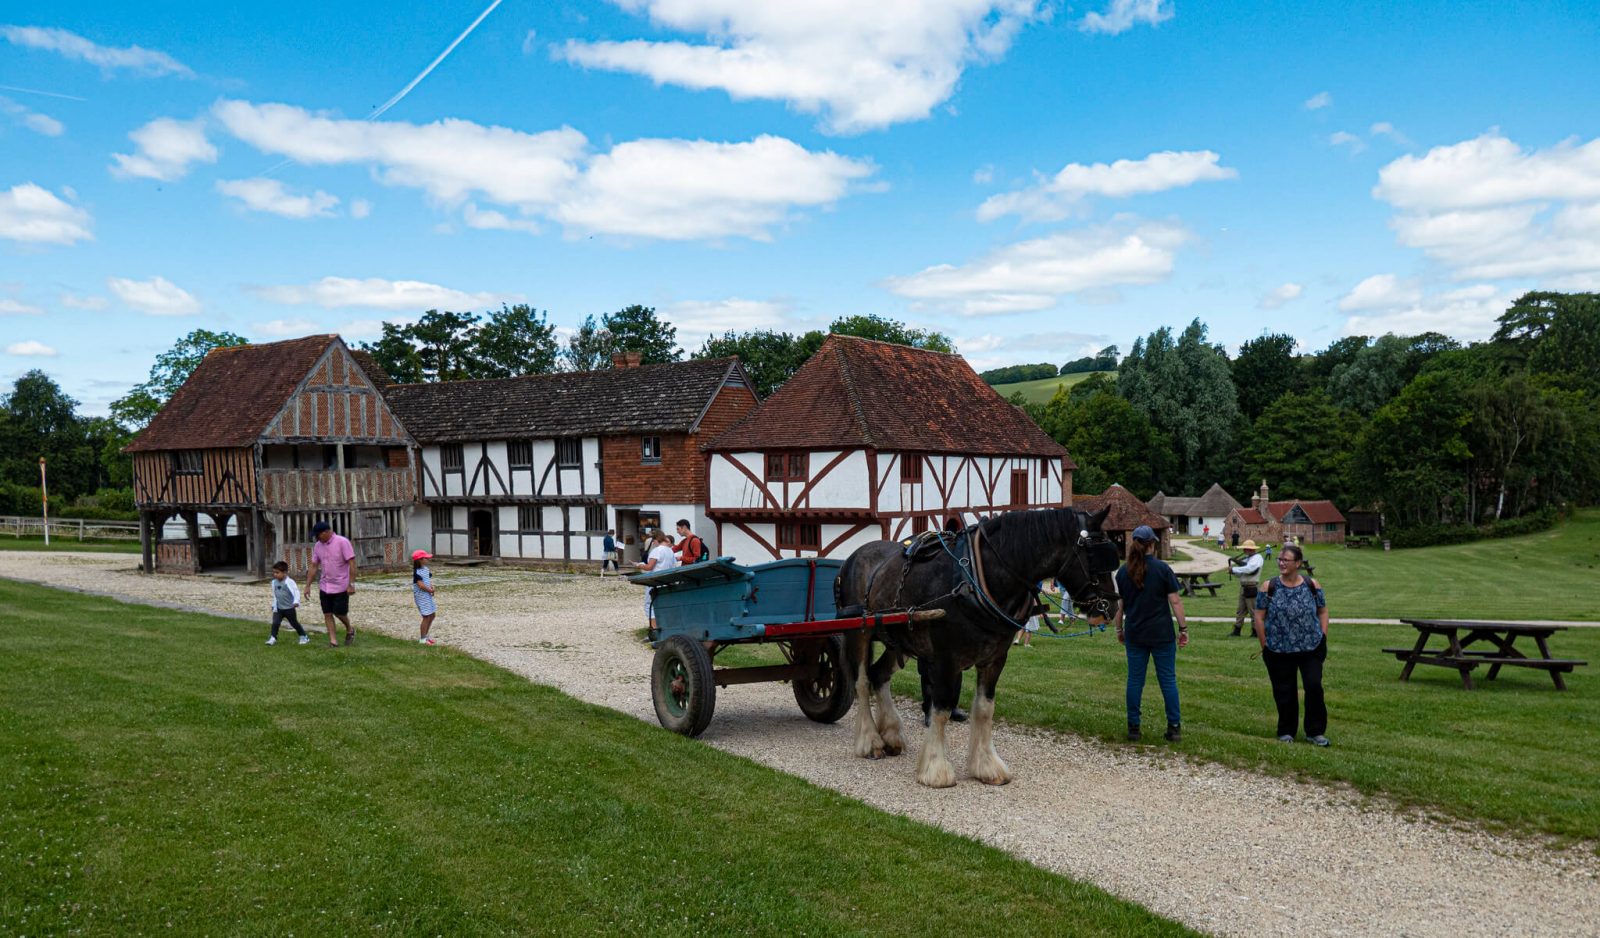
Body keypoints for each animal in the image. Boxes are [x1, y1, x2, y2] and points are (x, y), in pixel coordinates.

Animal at [832, 509, 1120, 784]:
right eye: (1095, 557)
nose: (1112, 608)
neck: (976, 580)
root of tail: (852, 557)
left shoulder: (995, 658)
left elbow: (984, 708)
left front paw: (986, 766)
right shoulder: (945, 659)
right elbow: (941, 709)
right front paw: (936, 769)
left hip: (898, 638)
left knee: (879, 675)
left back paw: (891, 734)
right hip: (859, 632)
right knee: (861, 681)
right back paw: (870, 740)